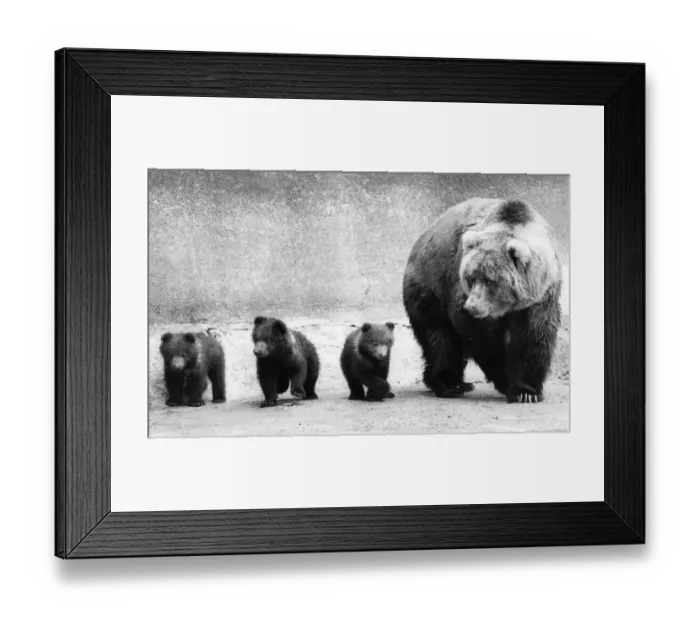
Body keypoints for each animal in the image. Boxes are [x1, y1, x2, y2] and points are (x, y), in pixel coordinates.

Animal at [402, 197, 562, 403]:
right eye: (471, 277)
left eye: (490, 280)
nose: (471, 307)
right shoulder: (461, 294)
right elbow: (480, 338)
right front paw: (506, 379)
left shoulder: (540, 296)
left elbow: (534, 335)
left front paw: (527, 391)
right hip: (430, 286)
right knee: (440, 338)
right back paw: (451, 384)